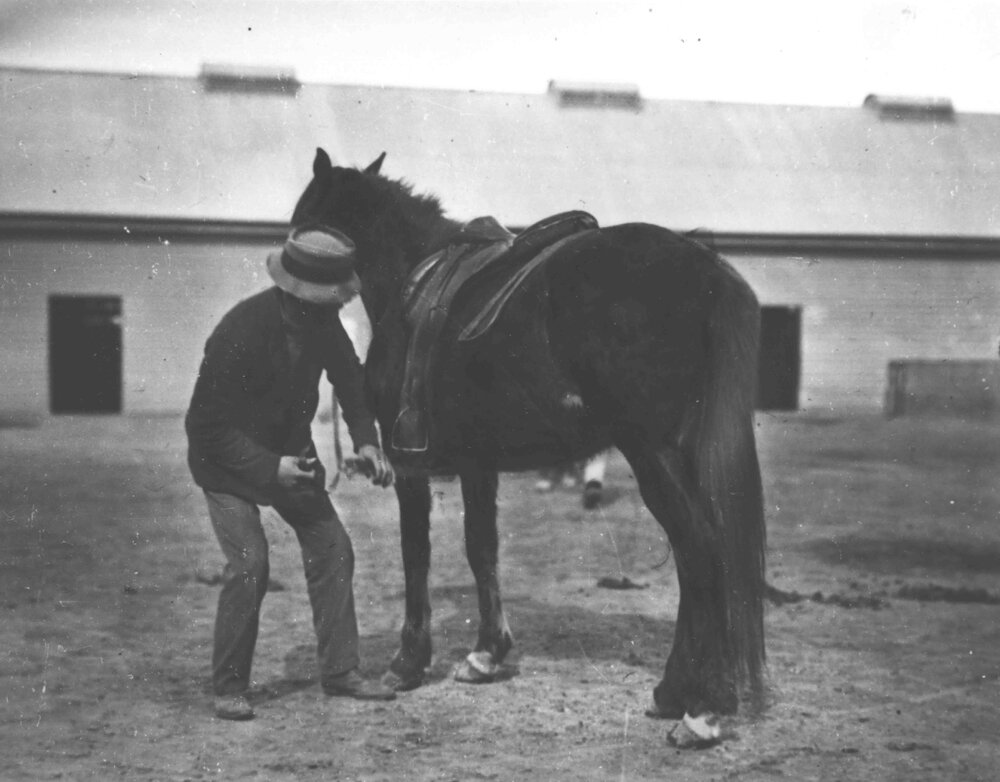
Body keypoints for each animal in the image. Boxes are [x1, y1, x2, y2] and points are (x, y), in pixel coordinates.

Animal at [292, 149, 767, 743]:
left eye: (304, 218)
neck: (412, 280)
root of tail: (704, 268)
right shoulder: (478, 464)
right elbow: (482, 549)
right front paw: (487, 655)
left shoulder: (410, 466)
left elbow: (416, 554)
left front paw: (409, 661)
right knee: (693, 558)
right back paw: (676, 692)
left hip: (653, 453)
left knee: (701, 551)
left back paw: (703, 710)